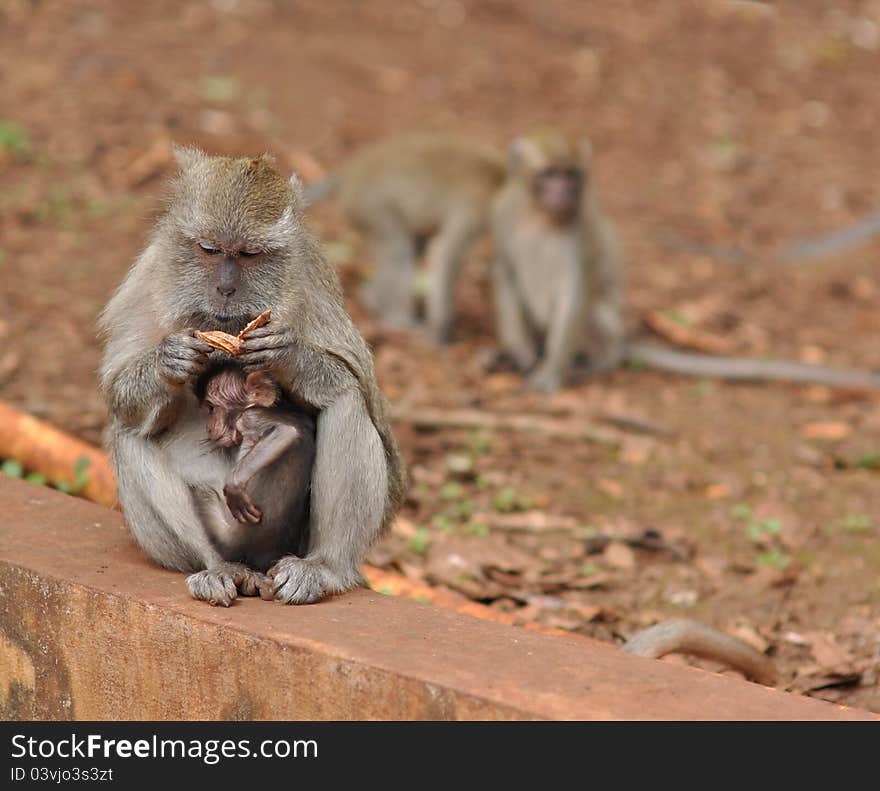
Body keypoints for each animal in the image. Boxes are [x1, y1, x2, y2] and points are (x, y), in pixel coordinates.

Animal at [99, 147, 406, 608]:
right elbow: (119, 391)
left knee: (346, 402)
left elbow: (357, 381)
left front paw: (287, 355)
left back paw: (325, 568)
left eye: (248, 255)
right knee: (131, 433)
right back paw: (220, 568)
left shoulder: (309, 282)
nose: (226, 290)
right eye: (210, 249)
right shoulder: (151, 278)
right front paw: (170, 361)